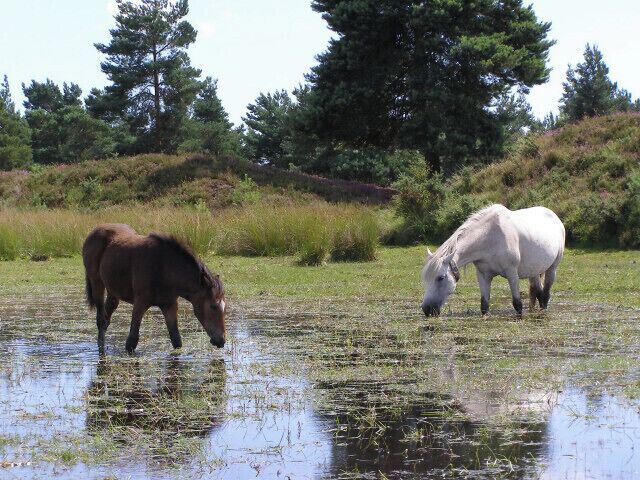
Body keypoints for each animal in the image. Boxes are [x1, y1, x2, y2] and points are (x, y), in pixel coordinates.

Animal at [82, 224, 226, 353]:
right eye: (213, 306)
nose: (222, 340)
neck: (164, 267)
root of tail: (94, 230)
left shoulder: (169, 305)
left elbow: (176, 340)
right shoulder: (140, 303)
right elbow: (131, 342)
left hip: (113, 291)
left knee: (106, 318)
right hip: (97, 284)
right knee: (101, 320)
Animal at [421, 204, 565, 317]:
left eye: (440, 278)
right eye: (426, 279)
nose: (426, 309)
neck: (490, 237)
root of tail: (555, 217)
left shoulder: (512, 274)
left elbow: (517, 305)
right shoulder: (483, 275)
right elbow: (484, 306)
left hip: (552, 268)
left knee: (545, 294)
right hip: (534, 271)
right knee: (537, 292)